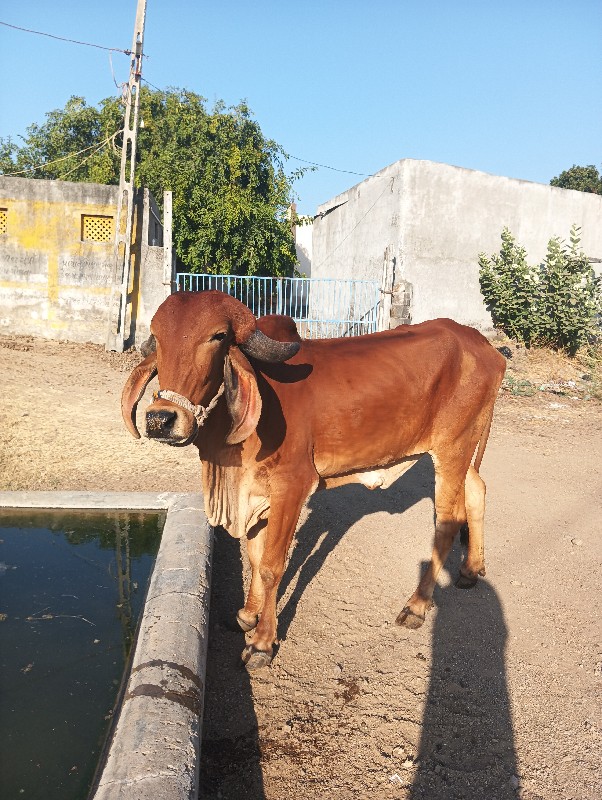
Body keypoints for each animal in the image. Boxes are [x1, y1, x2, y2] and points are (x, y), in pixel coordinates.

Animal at [119, 290, 504, 672]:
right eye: (158, 338)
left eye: (218, 336)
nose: (160, 420)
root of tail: (486, 347)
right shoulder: (256, 492)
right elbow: (255, 557)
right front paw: (248, 614)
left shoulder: (292, 487)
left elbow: (272, 566)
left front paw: (262, 642)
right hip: (461, 451)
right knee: (478, 491)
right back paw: (470, 569)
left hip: (452, 450)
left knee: (447, 523)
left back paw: (417, 605)